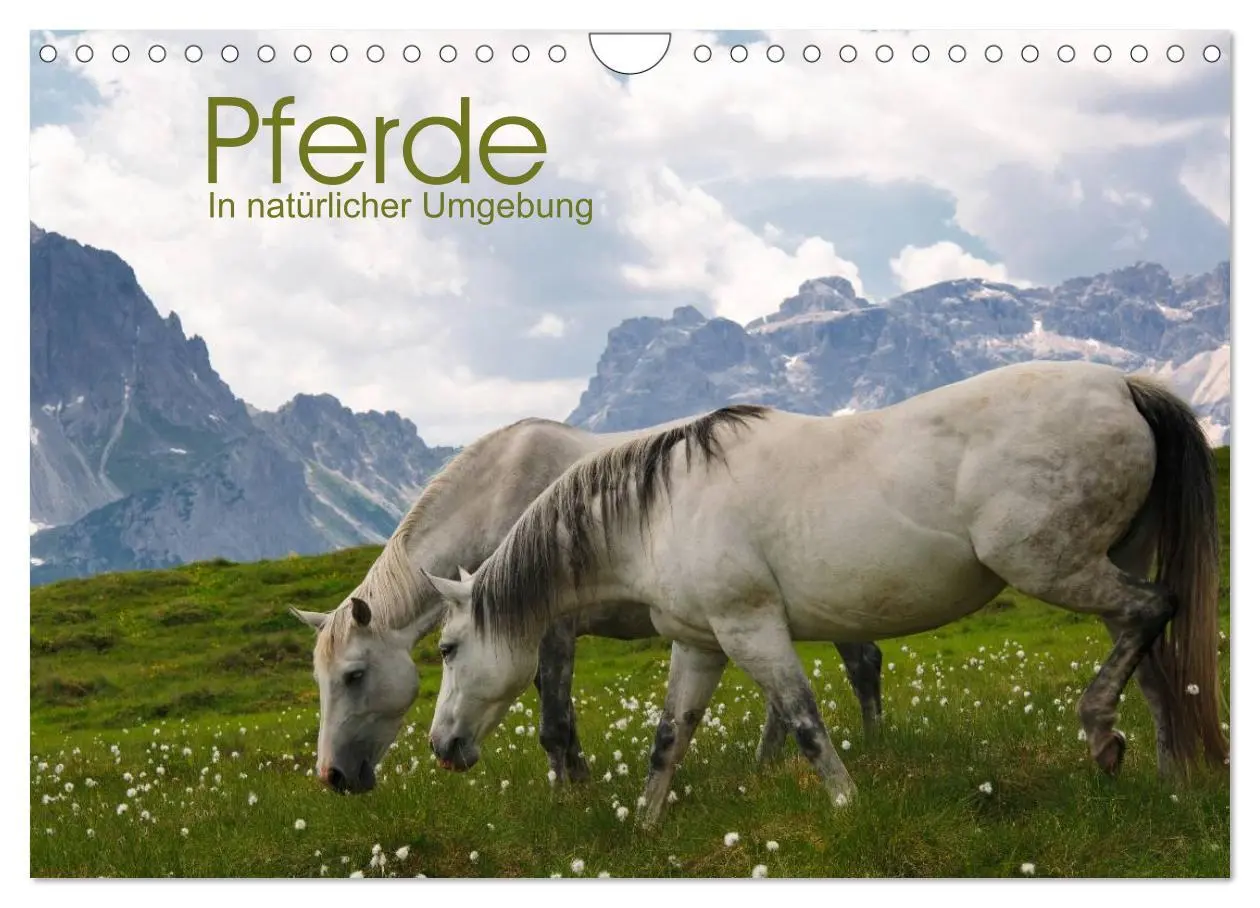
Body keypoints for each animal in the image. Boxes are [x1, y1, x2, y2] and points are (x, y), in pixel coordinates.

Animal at [288, 414, 885, 794]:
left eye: (354, 676)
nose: (332, 776)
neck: (502, 497)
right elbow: (565, 721)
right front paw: (580, 781)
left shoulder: (550, 632)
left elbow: (553, 724)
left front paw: (567, 799)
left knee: (862, 664)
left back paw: (875, 749)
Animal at [423, 360, 1228, 827]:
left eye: (449, 647)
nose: (441, 747)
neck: (661, 508)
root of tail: (1123, 387)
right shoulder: (701, 644)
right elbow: (668, 738)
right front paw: (645, 829)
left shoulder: (750, 628)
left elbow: (805, 720)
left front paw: (848, 808)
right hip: (1104, 561)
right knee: (1152, 660)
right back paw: (1165, 778)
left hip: (1051, 566)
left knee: (1156, 609)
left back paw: (1100, 731)